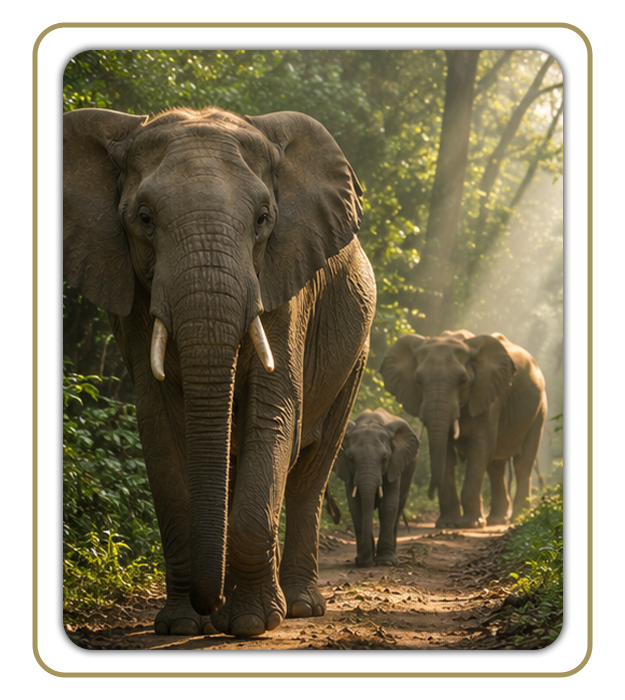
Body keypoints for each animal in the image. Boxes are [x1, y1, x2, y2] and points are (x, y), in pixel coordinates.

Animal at [63, 106, 376, 637]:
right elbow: (161, 430)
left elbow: (274, 416)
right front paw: (183, 626)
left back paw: (298, 606)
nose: (207, 606)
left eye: (263, 219)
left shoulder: (283, 287)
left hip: (357, 355)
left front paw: (251, 623)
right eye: (144, 219)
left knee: (310, 472)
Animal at [335, 408, 419, 567]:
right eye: (350, 458)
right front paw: (363, 561)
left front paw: (385, 562)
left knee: (399, 506)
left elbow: (388, 504)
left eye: (384, 458)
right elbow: (356, 505)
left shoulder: (394, 464)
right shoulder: (348, 472)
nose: (365, 561)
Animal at [380, 330, 547, 529]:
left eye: (463, 381)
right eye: (418, 380)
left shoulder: (489, 398)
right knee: (496, 466)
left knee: (522, 463)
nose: (429, 494)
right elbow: (446, 450)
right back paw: (496, 520)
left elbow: (480, 448)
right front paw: (447, 524)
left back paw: (518, 519)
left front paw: (471, 524)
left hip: (540, 410)